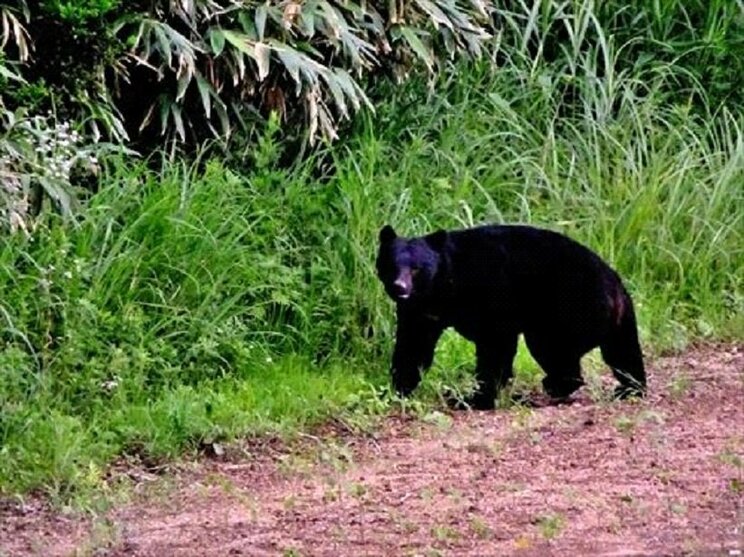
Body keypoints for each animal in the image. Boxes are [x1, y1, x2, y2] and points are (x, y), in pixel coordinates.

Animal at [374, 222, 648, 408]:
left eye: (416, 268)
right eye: (391, 265)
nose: (400, 288)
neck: (444, 286)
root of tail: (615, 283)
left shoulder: (492, 296)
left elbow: (495, 348)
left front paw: (475, 398)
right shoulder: (420, 312)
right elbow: (413, 347)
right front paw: (395, 390)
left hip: (565, 309)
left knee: (556, 351)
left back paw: (551, 386)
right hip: (616, 322)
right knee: (623, 354)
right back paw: (629, 389)